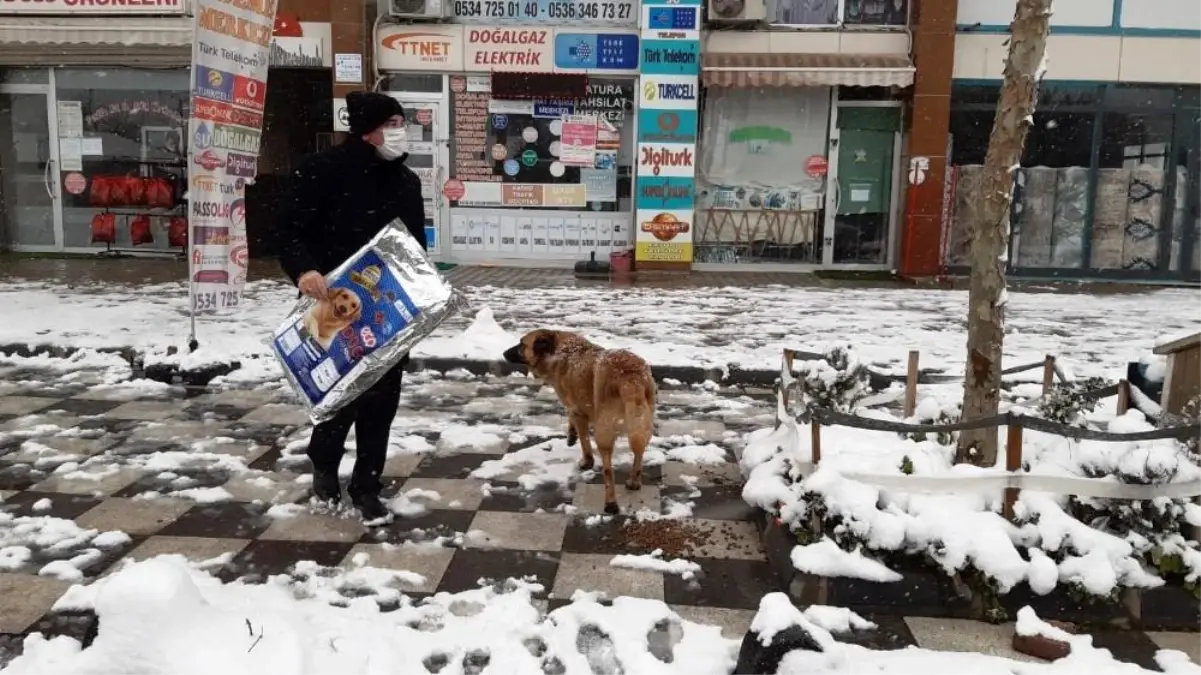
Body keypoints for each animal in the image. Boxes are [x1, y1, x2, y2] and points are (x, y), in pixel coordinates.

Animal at [504, 329, 658, 511]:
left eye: (522, 344)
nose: (503, 353)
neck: (559, 350)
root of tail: (630, 377)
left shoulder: (578, 412)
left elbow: (585, 442)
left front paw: (586, 460)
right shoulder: (577, 407)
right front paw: (571, 436)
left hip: (604, 433)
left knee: (608, 471)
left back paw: (611, 503)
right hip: (641, 425)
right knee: (639, 453)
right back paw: (634, 482)